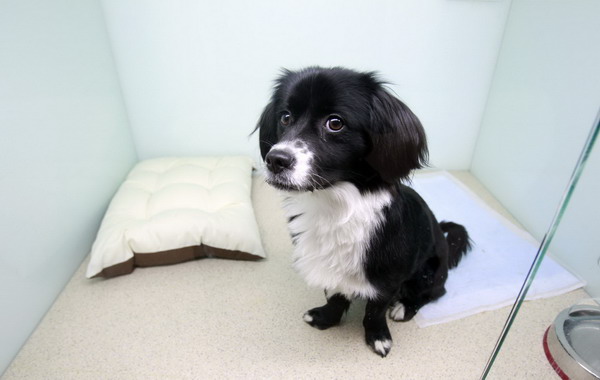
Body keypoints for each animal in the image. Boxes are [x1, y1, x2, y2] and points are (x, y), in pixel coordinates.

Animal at [251, 67, 472, 358]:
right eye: (285, 117)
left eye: (335, 123)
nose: (275, 160)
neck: (334, 205)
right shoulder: (332, 269)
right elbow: (335, 295)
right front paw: (326, 318)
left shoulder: (387, 279)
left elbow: (374, 311)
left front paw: (377, 337)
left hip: (429, 273)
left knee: (432, 293)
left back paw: (404, 307)